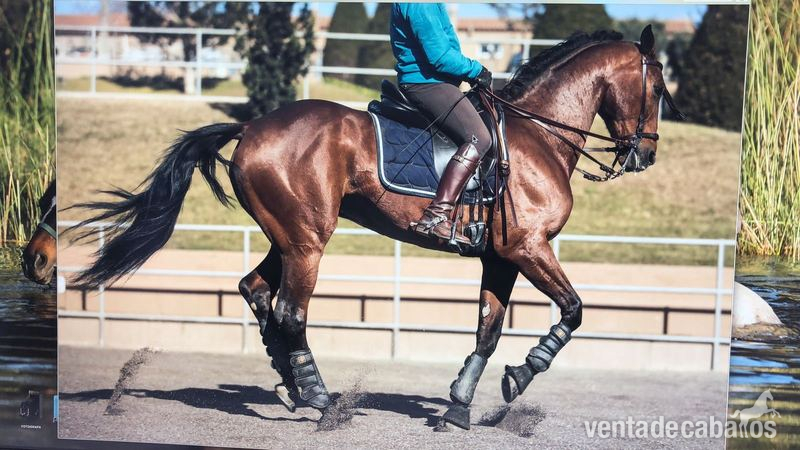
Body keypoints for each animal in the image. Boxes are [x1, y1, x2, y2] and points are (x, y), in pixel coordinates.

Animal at [69, 27, 678, 429]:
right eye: (657, 88)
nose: (645, 156)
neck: (538, 135)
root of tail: (252, 126)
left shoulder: (501, 256)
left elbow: (487, 329)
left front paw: (458, 405)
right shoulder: (529, 248)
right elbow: (573, 310)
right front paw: (520, 376)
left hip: (288, 236)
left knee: (256, 290)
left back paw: (290, 385)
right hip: (308, 241)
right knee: (290, 311)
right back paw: (319, 399)